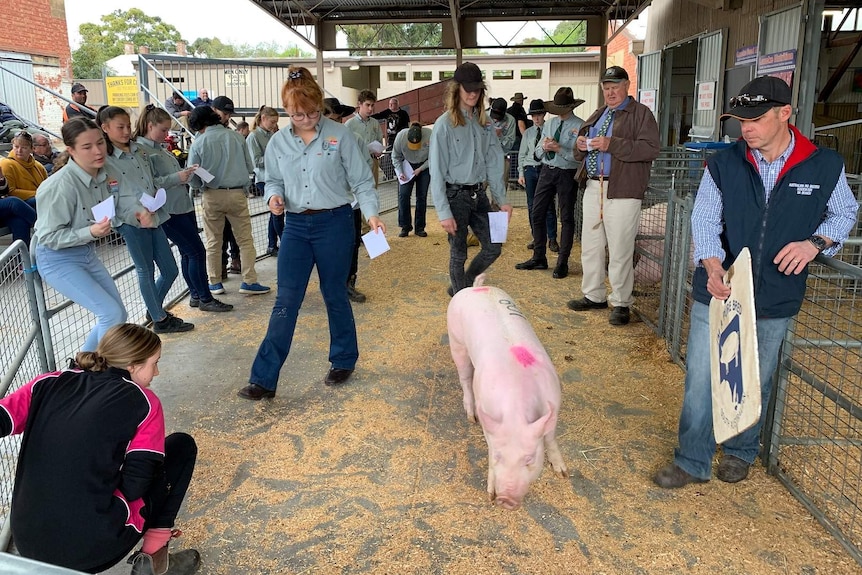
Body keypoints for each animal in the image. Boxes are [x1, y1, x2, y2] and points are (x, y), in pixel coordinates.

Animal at [448, 276, 572, 510]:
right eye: (498, 457)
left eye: (529, 459)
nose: (506, 499)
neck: (516, 410)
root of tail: (476, 288)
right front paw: (490, 494)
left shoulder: (554, 401)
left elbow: (550, 437)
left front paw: (563, 473)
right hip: (455, 340)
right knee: (464, 377)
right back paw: (470, 416)